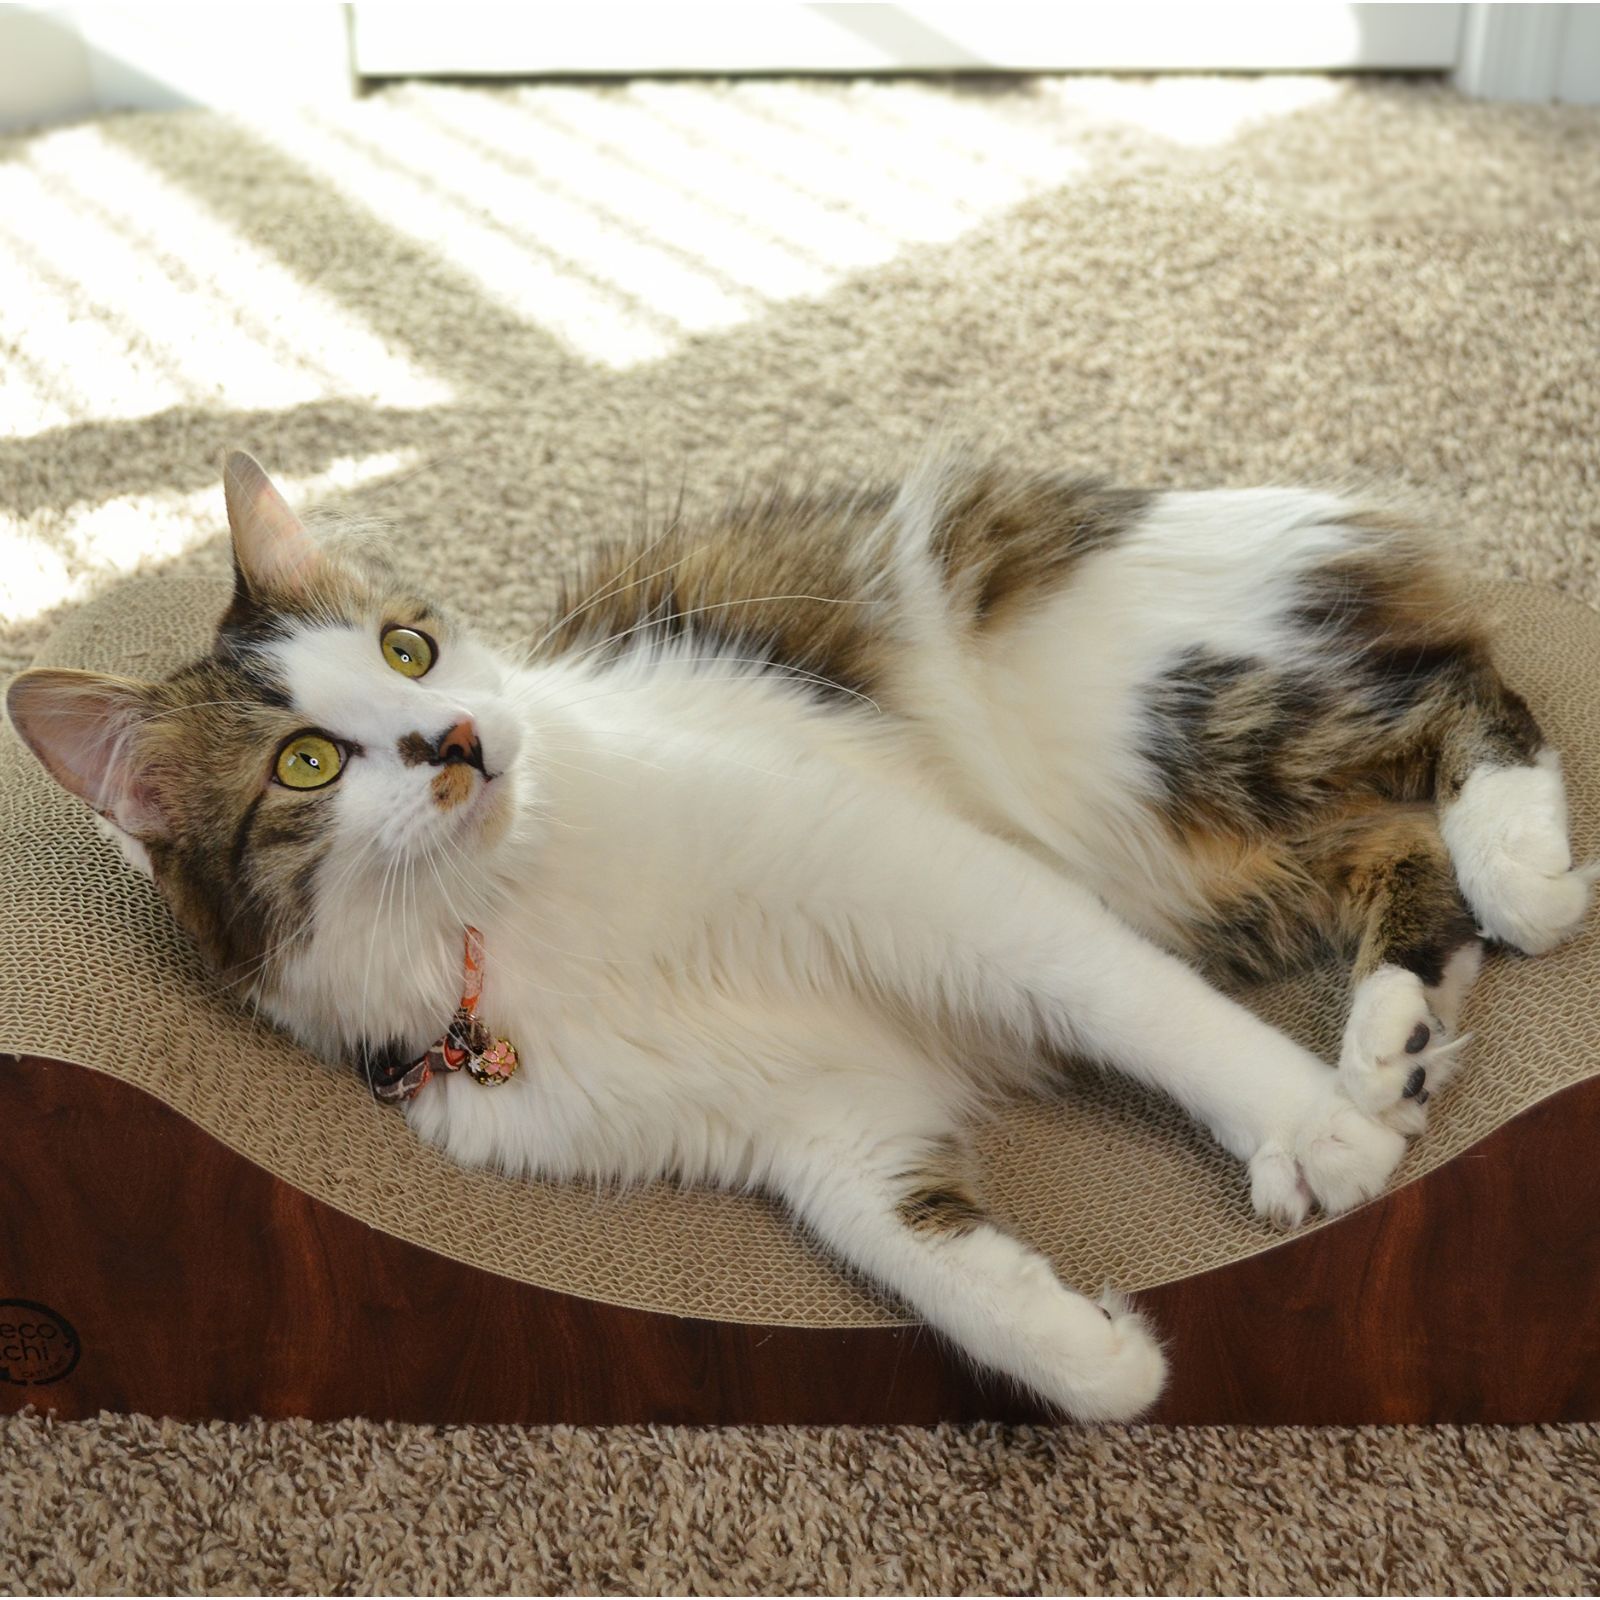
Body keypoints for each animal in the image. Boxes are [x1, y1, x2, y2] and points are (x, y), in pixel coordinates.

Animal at [9, 454, 1587, 1427]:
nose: (457, 734)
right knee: (1396, 847)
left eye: (408, 649)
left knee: (1460, 694)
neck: (504, 914)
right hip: (1228, 866)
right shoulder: (813, 1125)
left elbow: (1146, 1016)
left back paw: (1515, 882)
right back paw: (1395, 1041)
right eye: (306, 765)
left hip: (1182, 735)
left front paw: (1314, 1135)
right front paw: (1101, 1354)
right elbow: (929, 1261)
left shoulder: (923, 879)